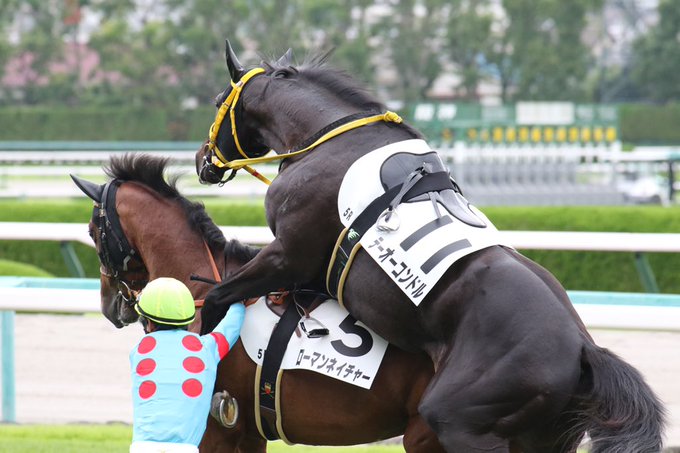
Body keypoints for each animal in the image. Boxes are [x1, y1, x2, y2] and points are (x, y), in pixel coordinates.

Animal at [193, 41, 666, 452]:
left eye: (217, 100)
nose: (202, 160)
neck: (328, 138)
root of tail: (583, 349)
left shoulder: (289, 254)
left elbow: (216, 297)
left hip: (459, 418)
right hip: (542, 437)